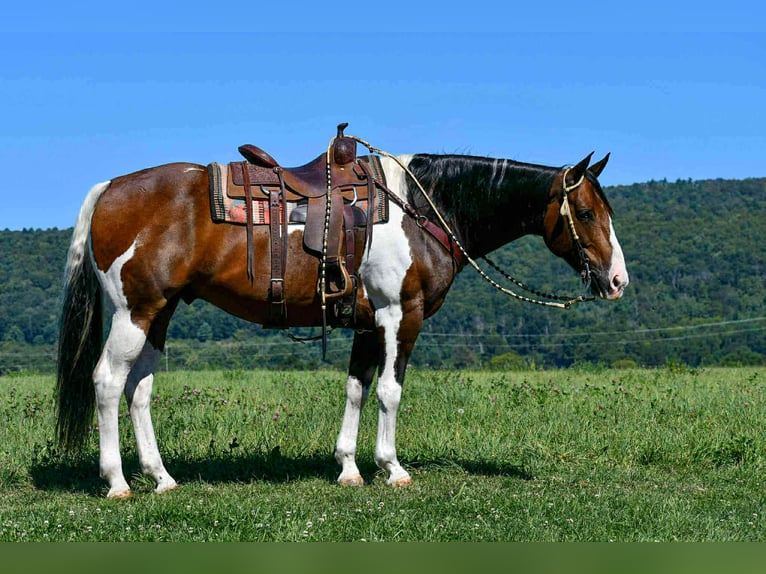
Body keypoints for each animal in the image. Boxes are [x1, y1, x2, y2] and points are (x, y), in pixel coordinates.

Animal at [55, 136, 629, 498]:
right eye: (585, 213)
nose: (618, 281)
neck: (423, 207)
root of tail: (109, 188)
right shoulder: (401, 314)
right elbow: (390, 391)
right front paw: (393, 469)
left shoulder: (367, 323)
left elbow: (357, 388)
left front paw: (349, 468)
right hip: (134, 311)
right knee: (108, 382)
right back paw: (118, 483)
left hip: (160, 311)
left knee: (139, 389)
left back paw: (162, 478)